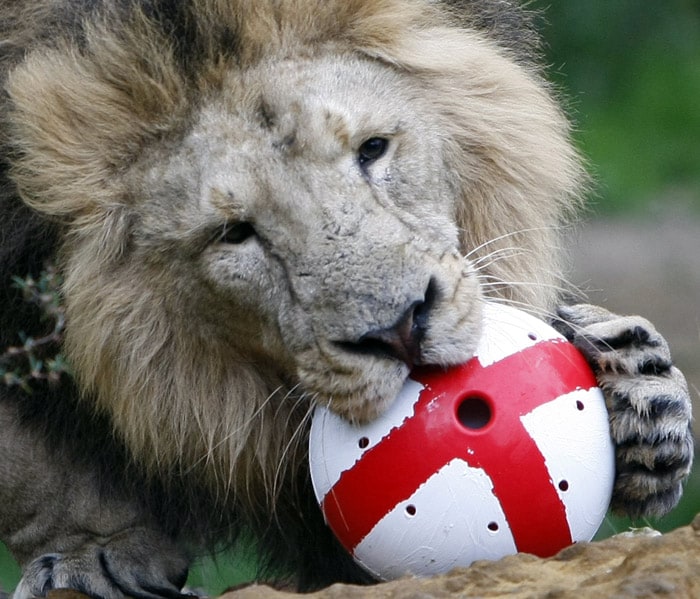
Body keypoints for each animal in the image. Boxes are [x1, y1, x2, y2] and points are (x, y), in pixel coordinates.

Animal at [0, 0, 692, 596]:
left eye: (372, 149)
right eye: (235, 233)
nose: (400, 331)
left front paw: (640, 392)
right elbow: (34, 468)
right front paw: (93, 555)